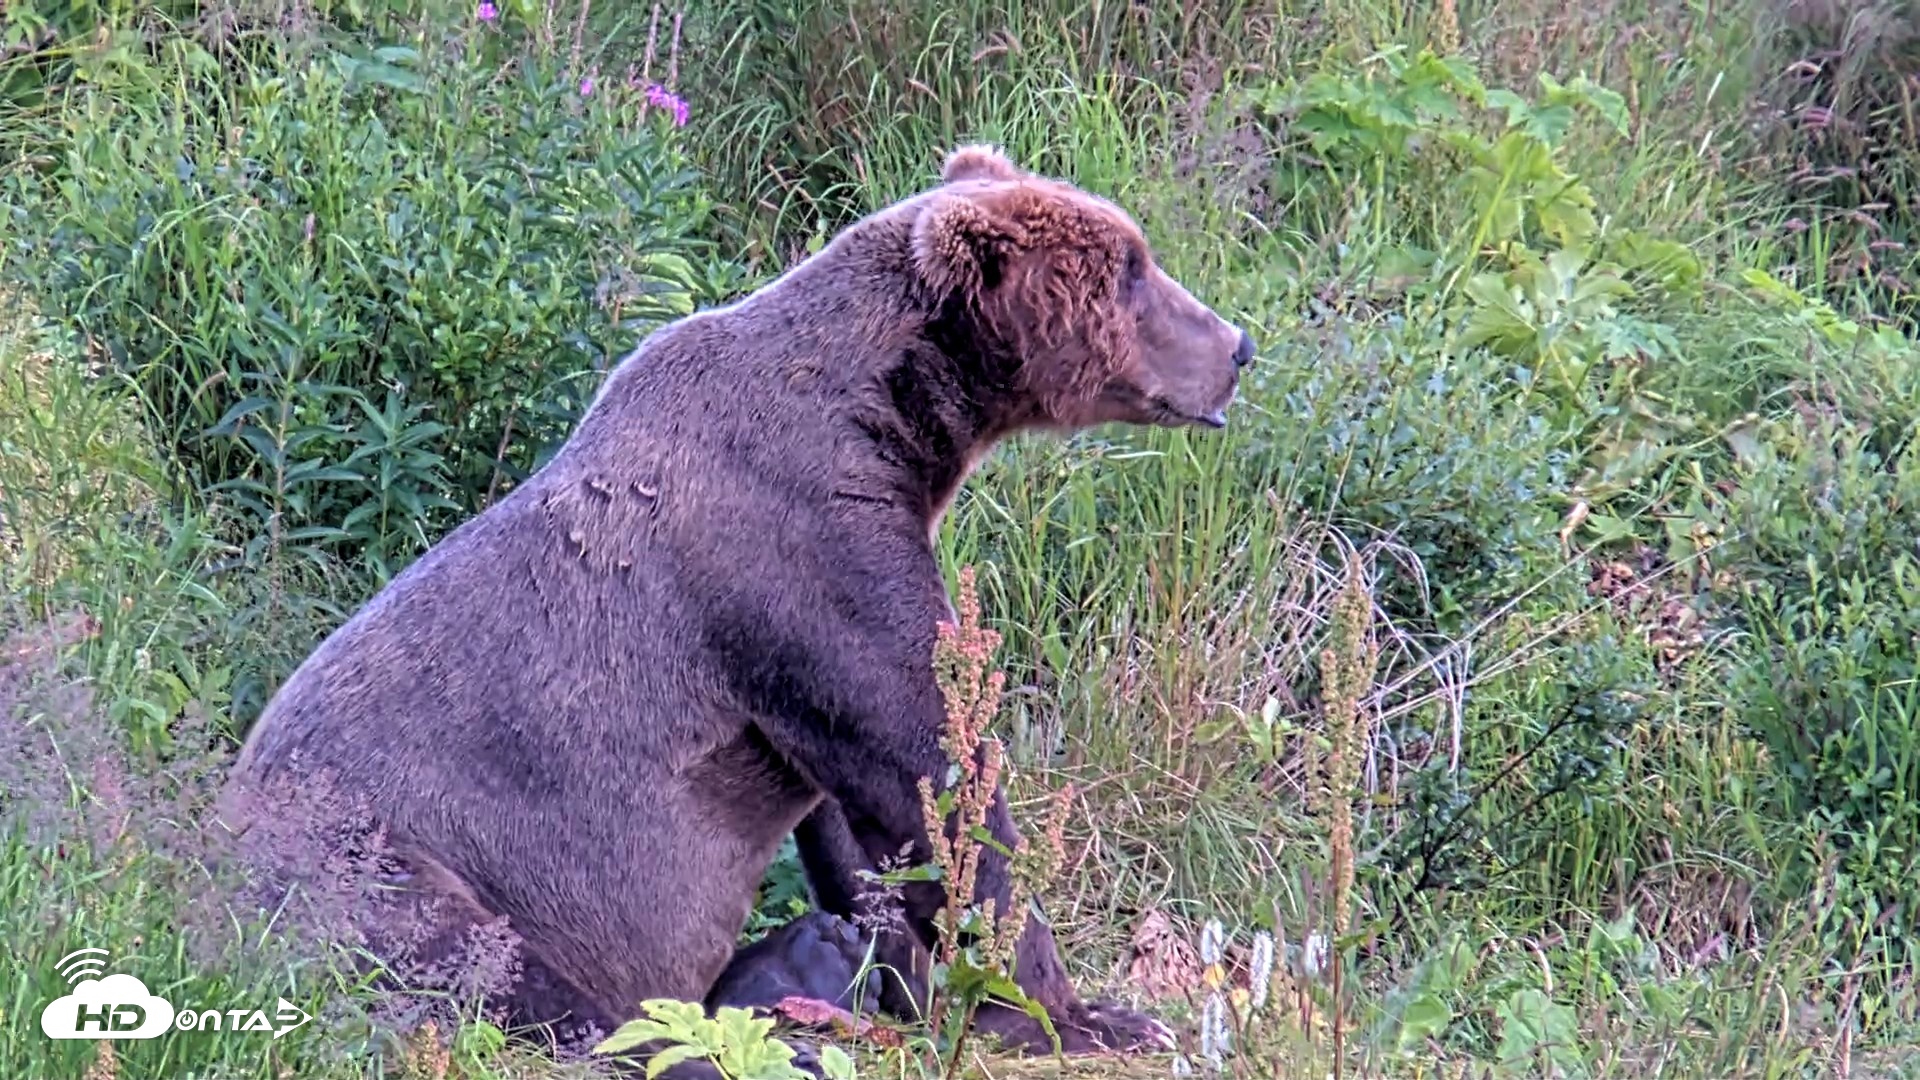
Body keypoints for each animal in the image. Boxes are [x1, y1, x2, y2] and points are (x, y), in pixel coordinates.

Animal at [217, 142, 1255, 1075]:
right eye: (1130, 268)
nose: (1238, 346)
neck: (890, 424)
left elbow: (869, 827)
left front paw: (921, 981)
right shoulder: (798, 551)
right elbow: (933, 773)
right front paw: (1084, 1015)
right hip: (383, 857)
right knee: (489, 971)